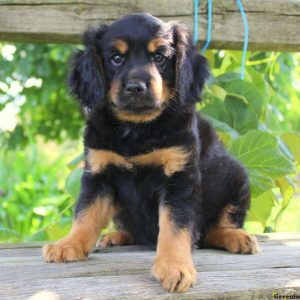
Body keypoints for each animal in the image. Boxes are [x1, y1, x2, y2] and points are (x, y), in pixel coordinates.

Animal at [42, 13, 260, 292]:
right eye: (116, 58)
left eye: (159, 57)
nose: (136, 87)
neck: (137, 130)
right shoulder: (99, 173)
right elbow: (86, 213)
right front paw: (70, 243)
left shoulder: (179, 179)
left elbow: (174, 226)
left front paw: (175, 266)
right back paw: (117, 236)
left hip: (235, 177)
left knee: (213, 228)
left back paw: (235, 236)